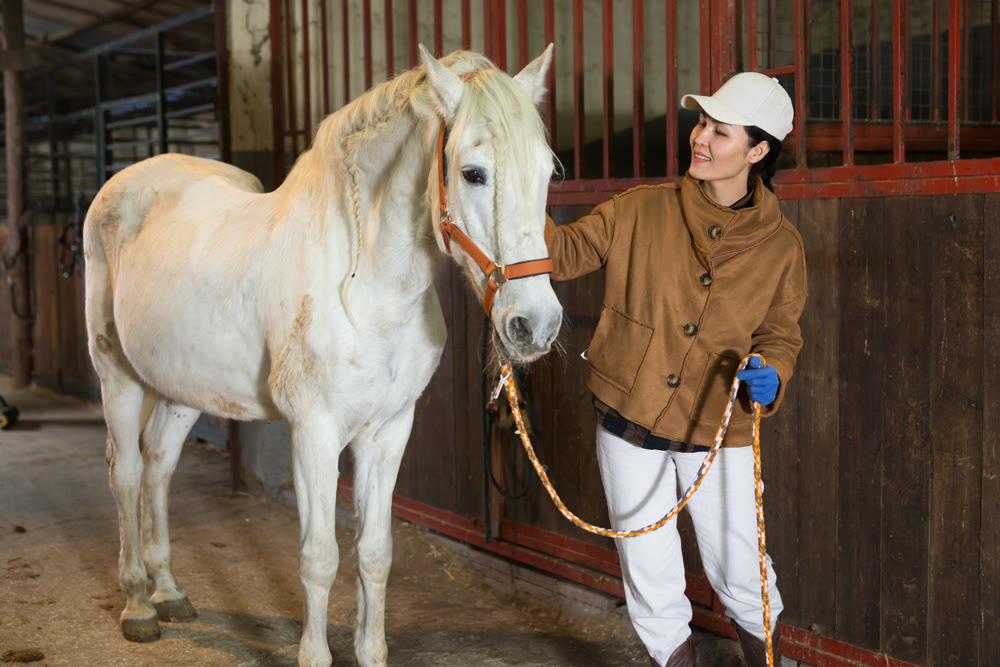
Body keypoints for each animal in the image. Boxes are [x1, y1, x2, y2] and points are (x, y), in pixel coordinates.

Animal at [83, 45, 562, 667]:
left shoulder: (389, 430)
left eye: (548, 172)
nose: (535, 324)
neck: (365, 288)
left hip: (181, 387)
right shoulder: (313, 431)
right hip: (116, 375)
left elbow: (374, 554)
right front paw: (314, 653)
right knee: (126, 472)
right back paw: (140, 606)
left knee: (159, 464)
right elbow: (320, 558)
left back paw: (170, 593)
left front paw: (371, 651)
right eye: (472, 172)